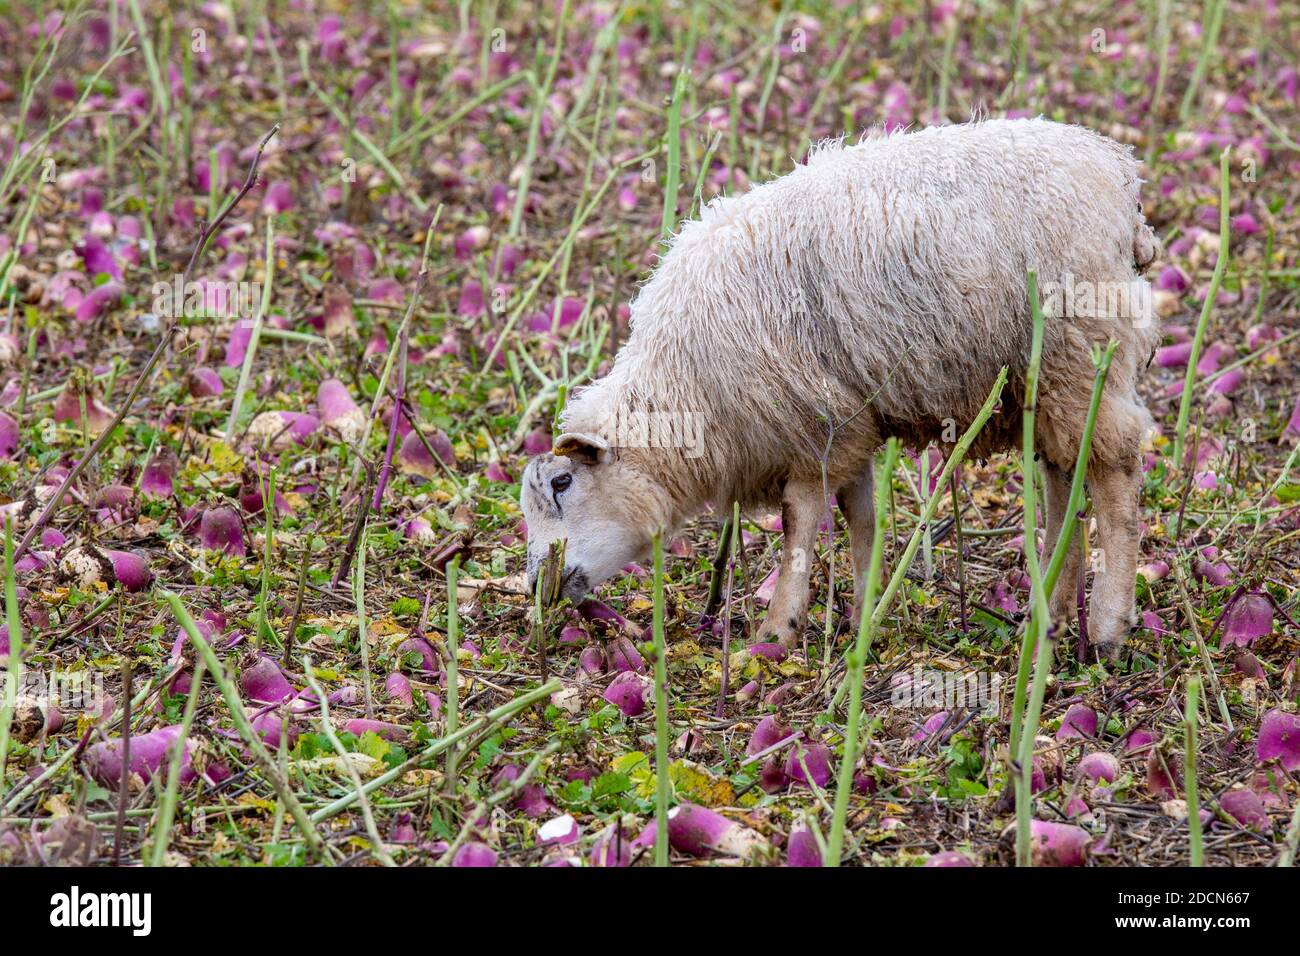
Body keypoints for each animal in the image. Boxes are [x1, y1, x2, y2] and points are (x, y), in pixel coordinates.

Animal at [521, 117, 1159, 658]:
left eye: (562, 483)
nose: (535, 584)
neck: (684, 387)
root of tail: (1119, 176)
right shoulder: (851, 417)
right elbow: (861, 517)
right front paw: (863, 615)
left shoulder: (812, 426)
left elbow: (798, 523)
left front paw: (776, 632)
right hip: (1045, 379)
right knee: (1064, 483)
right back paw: (1048, 615)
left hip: (1083, 351)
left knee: (1116, 479)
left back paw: (1107, 629)